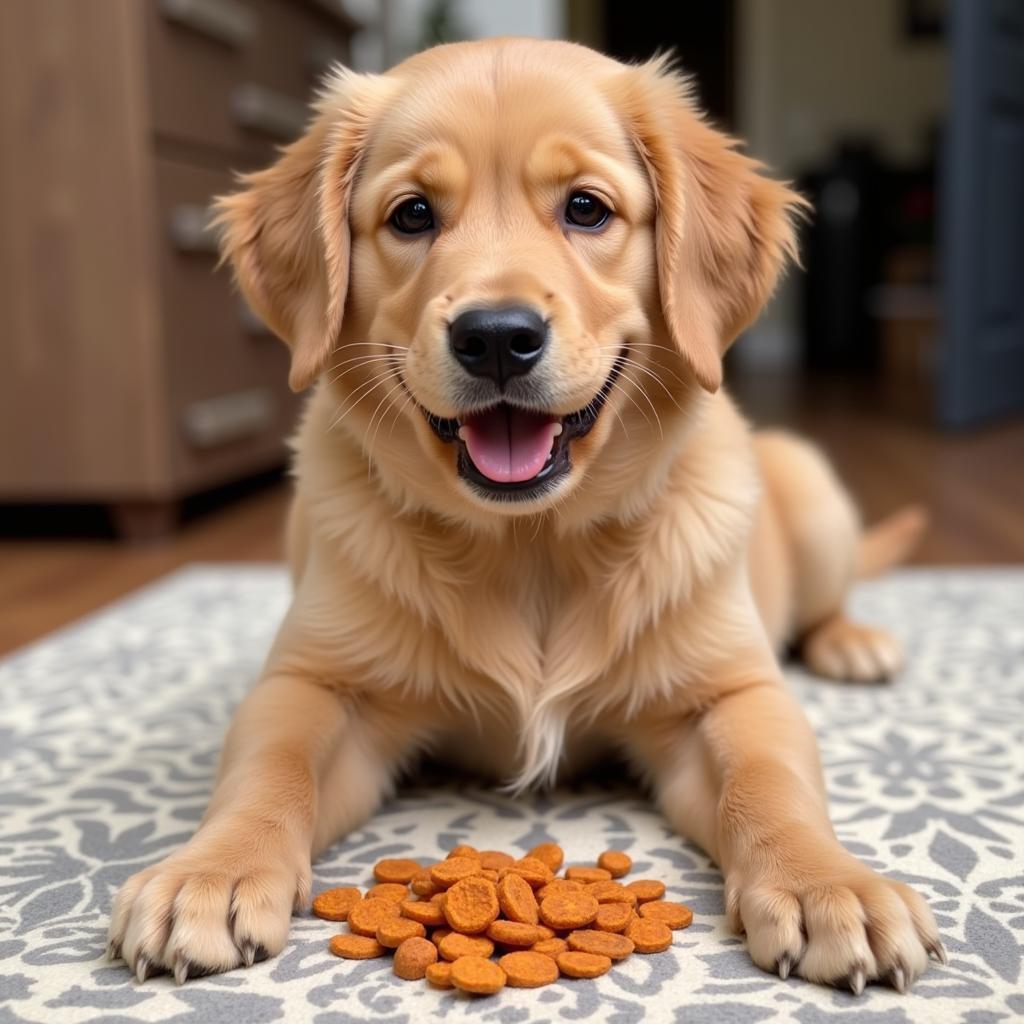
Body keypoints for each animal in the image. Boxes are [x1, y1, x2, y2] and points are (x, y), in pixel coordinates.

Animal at [105, 39, 942, 991]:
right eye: (412, 215)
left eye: (586, 208)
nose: (497, 337)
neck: (529, 543)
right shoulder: (314, 684)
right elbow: (267, 769)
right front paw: (208, 871)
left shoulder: (732, 693)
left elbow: (771, 784)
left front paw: (828, 883)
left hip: (810, 487)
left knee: (827, 604)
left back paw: (854, 643)